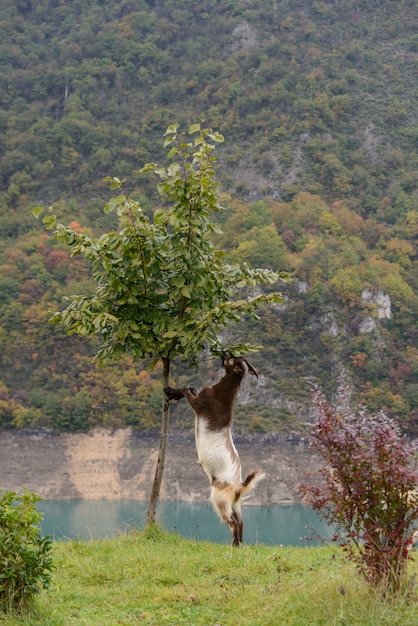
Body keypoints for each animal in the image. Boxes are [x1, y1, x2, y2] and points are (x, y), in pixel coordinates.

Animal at [162, 354, 264, 544]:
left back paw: (233, 545)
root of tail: (239, 487)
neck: (222, 395)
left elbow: (186, 390)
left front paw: (170, 391)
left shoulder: (200, 403)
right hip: (235, 503)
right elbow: (191, 387)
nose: (223, 353)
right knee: (241, 522)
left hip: (219, 499)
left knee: (232, 523)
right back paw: (239, 545)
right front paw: (171, 392)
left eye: (233, 358)